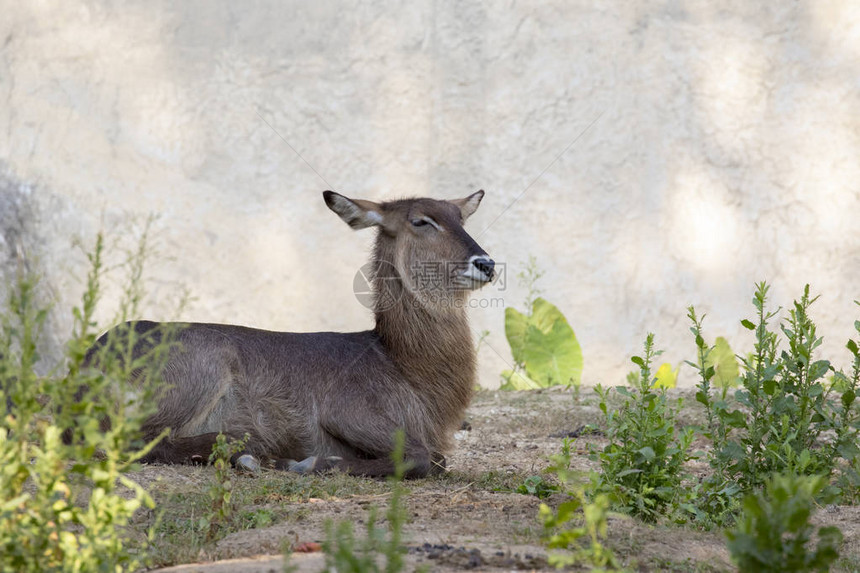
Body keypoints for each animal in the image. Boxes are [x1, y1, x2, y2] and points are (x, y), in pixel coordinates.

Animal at [87, 190, 494, 476]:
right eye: (421, 221)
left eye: (460, 218)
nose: (486, 263)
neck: (404, 367)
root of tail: (96, 353)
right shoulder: (347, 410)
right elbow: (423, 458)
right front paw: (307, 464)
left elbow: (437, 458)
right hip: (201, 372)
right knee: (134, 442)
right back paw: (245, 453)